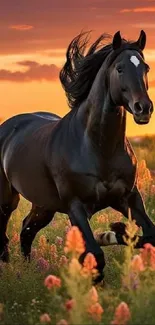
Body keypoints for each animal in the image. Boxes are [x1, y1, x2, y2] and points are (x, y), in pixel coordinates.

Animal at [0, 29, 154, 280]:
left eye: (146, 68)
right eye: (120, 68)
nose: (144, 109)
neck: (98, 148)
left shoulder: (128, 198)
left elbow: (150, 235)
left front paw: (112, 231)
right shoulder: (76, 206)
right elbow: (95, 256)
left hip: (44, 205)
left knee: (26, 230)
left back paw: (27, 269)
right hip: (7, 200)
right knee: (4, 234)